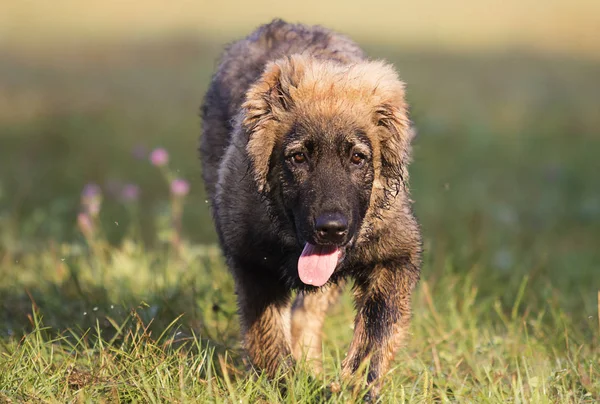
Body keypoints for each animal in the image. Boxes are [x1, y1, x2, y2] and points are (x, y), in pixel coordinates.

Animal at [199, 19, 420, 398]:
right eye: (298, 157)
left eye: (358, 158)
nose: (330, 229)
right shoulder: (252, 262)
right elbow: (267, 336)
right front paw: (284, 386)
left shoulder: (393, 256)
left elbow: (375, 333)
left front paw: (354, 387)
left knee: (308, 315)